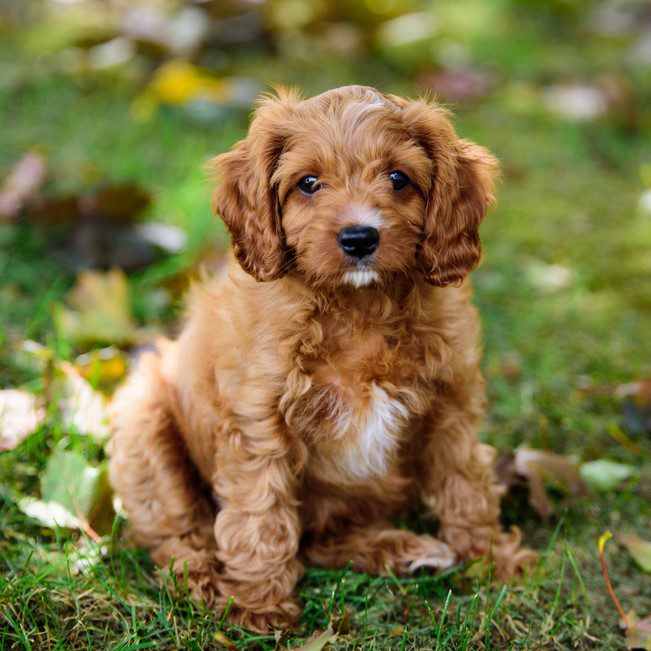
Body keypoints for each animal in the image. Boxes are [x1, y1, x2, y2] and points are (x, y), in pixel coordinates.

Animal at [108, 85, 536, 632]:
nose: (359, 237)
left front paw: (490, 559)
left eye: (399, 179)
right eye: (308, 183)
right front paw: (257, 606)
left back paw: (403, 550)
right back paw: (200, 578)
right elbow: (260, 511)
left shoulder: (452, 403)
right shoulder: (258, 420)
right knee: (176, 530)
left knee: (320, 541)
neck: (360, 307)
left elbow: (466, 483)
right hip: (145, 421)